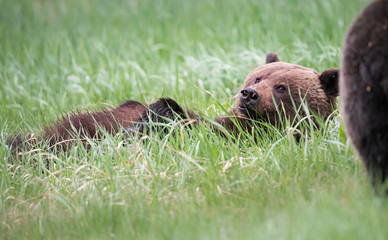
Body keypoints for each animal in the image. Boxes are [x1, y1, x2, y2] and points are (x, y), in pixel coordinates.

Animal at [6, 52, 340, 154]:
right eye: (258, 77)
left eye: (282, 87)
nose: (249, 94)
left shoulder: (243, 137)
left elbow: (186, 126)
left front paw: (142, 127)